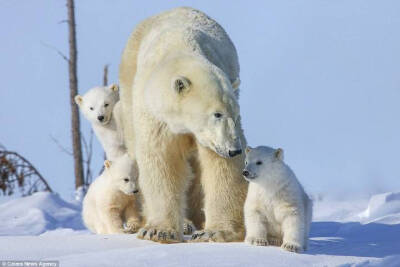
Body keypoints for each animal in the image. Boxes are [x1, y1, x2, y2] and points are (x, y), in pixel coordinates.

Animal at [119, 6, 247, 245]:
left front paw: (214, 232)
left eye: (235, 114)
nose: (234, 150)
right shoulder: (156, 116)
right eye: (217, 113)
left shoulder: (212, 138)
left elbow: (221, 168)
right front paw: (158, 231)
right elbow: (161, 161)